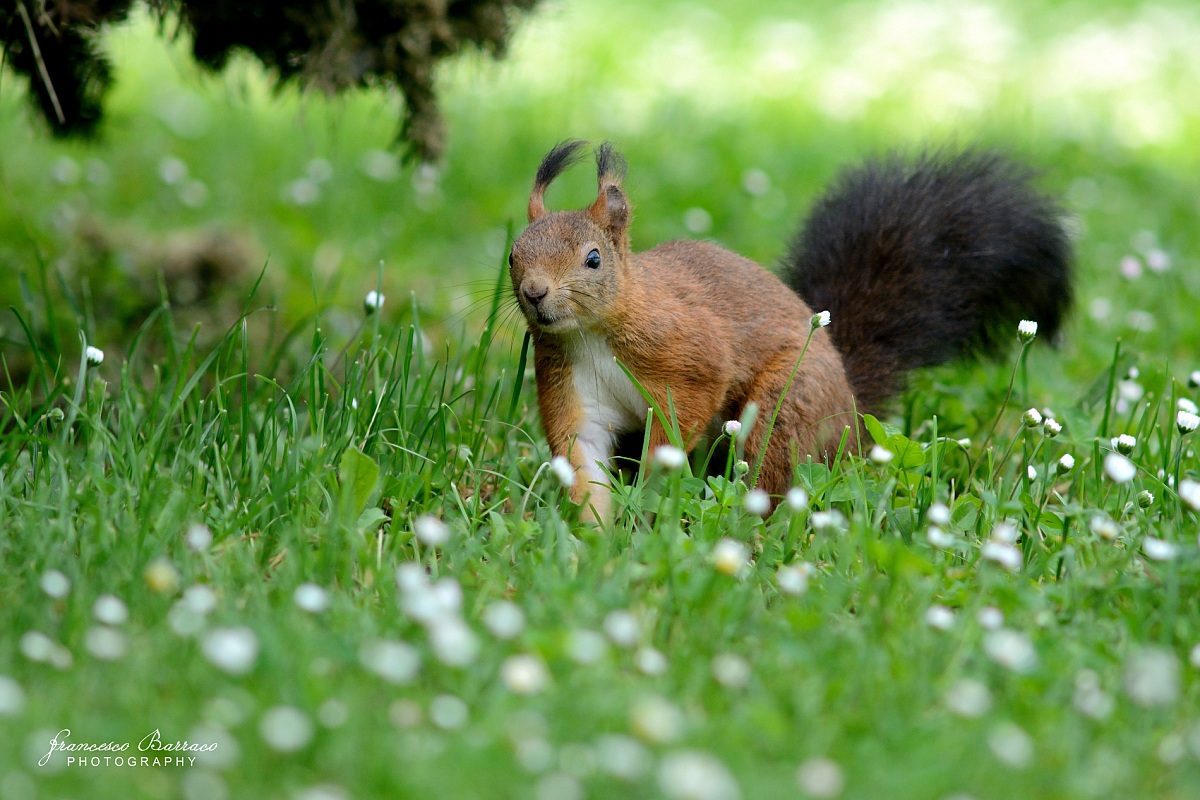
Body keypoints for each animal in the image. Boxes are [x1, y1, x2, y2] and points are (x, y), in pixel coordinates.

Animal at [508, 140, 1072, 522]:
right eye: (513, 255)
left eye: (594, 259)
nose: (534, 292)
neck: (592, 334)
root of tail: (851, 410)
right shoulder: (570, 379)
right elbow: (581, 455)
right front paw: (596, 533)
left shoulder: (687, 352)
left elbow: (686, 408)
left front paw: (651, 489)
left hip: (789, 405)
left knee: (771, 467)